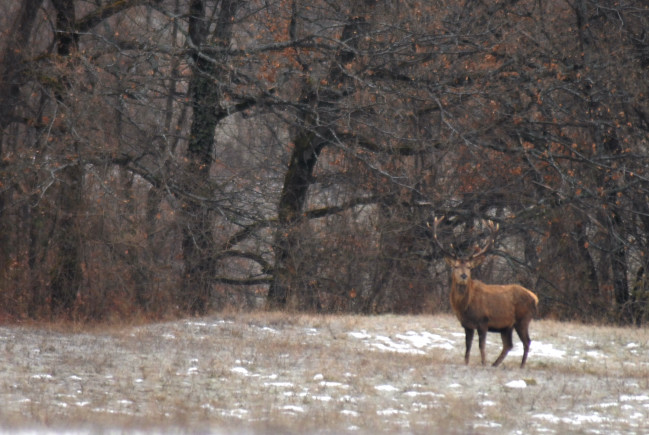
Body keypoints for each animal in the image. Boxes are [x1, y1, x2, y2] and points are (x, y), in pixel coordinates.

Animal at [432, 216, 540, 370]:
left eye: (469, 267)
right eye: (456, 266)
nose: (464, 276)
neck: (465, 307)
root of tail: (535, 298)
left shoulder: (483, 321)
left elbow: (481, 346)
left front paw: (483, 363)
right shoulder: (467, 325)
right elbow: (467, 346)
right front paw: (466, 363)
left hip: (523, 319)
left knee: (527, 341)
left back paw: (521, 365)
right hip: (507, 326)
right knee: (508, 345)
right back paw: (495, 364)